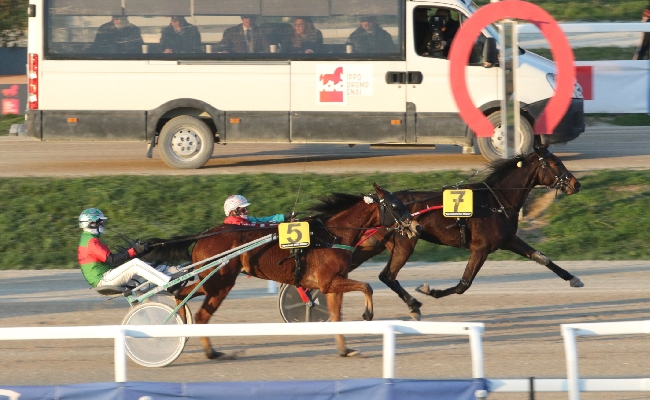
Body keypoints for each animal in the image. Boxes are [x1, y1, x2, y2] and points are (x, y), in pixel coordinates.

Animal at [144, 184, 418, 360]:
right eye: (396, 204)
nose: (414, 225)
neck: (331, 235)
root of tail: (203, 236)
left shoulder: (332, 284)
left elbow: (336, 315)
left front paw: (345, 350)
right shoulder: (329, 282)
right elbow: (367, 286)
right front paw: (368, 314)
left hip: (210, 279)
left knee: (181, 293)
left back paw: (181, 325)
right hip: (220, 282)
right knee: (201, 315)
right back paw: (209, 351)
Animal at [350, 145, 584, 320]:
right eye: (556, 163)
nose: (576, 184)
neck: (496, 201)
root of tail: (378, 202)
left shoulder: (508, 240)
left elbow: (542, 257)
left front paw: (574, 278)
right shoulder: (480, 248)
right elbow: (464, 284)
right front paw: (430, 291)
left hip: (374, 244)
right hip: (405, 243)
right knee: (387, 275)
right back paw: (413, 306)